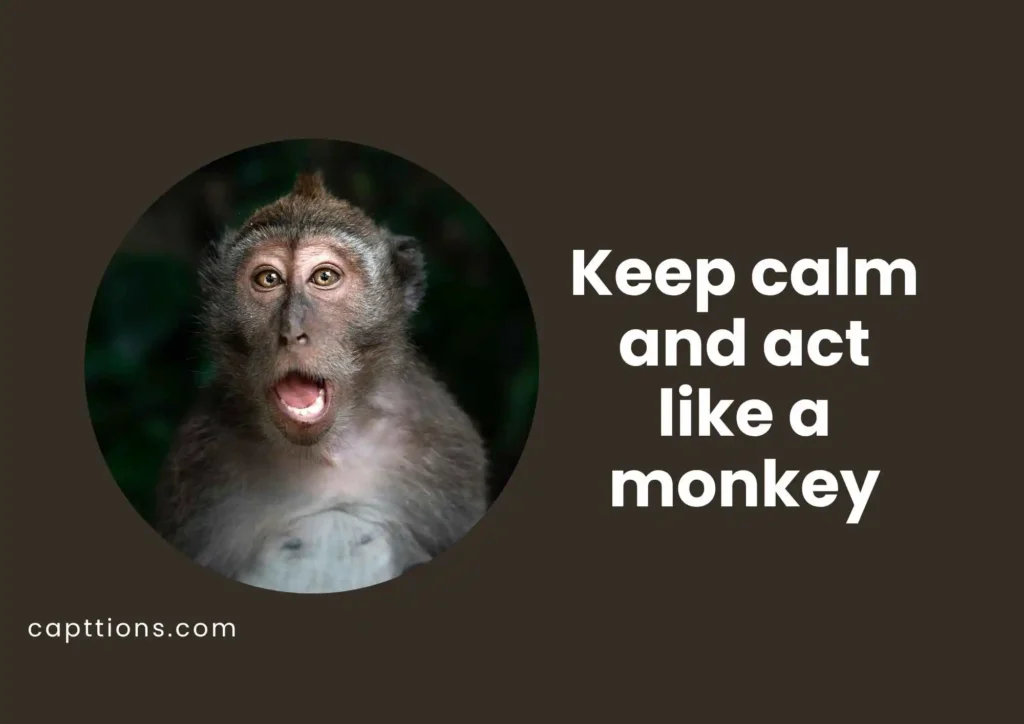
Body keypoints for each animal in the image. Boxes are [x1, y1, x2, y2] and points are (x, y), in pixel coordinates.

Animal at [153, 171, 488, 594]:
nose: (291, 331)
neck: (325, 452)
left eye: (324, 277)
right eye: (268, 279)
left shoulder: (445, 447)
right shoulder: (199, 462)